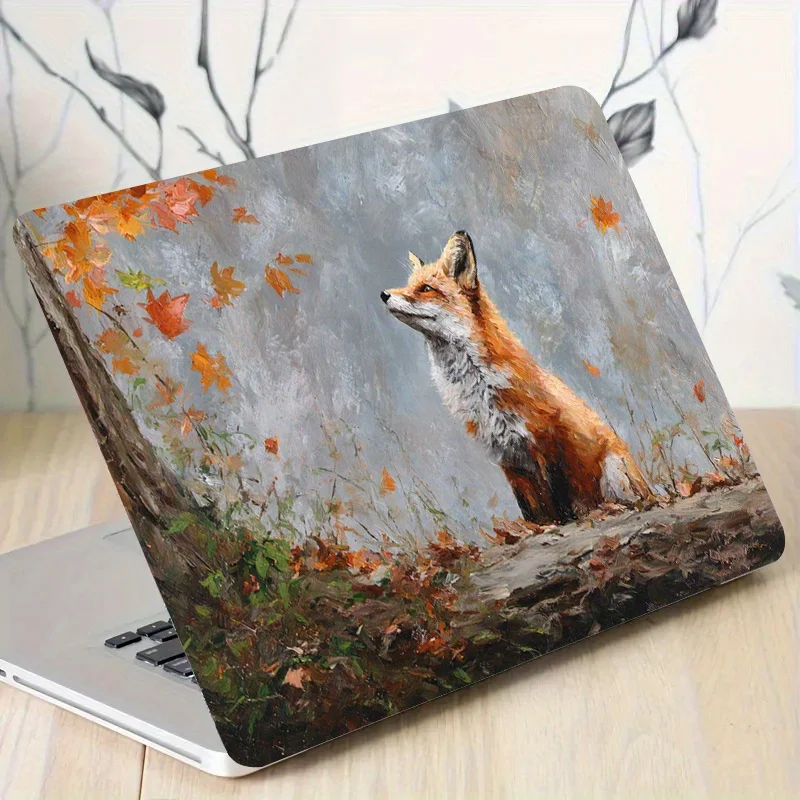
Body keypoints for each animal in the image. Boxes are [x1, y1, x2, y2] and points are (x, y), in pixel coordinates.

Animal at [380, 231, 650, 525]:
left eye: (426, 289)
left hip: (615, 469)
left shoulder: (548, 445)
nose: (384, 294)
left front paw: (566, 522)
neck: (480, 386)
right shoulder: (509, 458)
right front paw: (541, 528)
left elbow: (561, 505)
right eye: (410, 285)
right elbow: (534, 513)